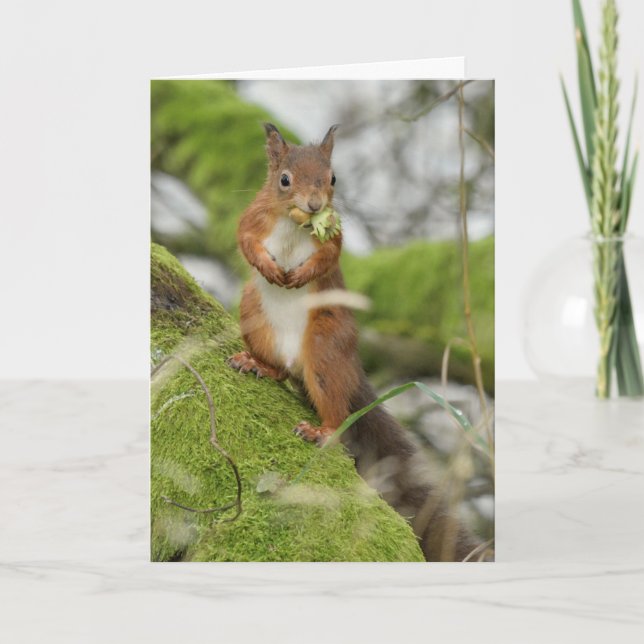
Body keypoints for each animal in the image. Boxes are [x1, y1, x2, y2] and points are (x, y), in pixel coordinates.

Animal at [228, 123, 481, 562]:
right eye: (284, 180)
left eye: (332, 179)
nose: (314, 205)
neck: (294, 225)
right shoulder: (254, 216)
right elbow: (244, 238)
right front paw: (268, 267)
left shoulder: (333, 238)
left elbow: (329, 254)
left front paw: (301, 273)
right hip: (253, 315)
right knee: (278, 370)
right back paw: (258, 364)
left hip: (326, 347)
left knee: (335, 406)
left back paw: (322, 431)